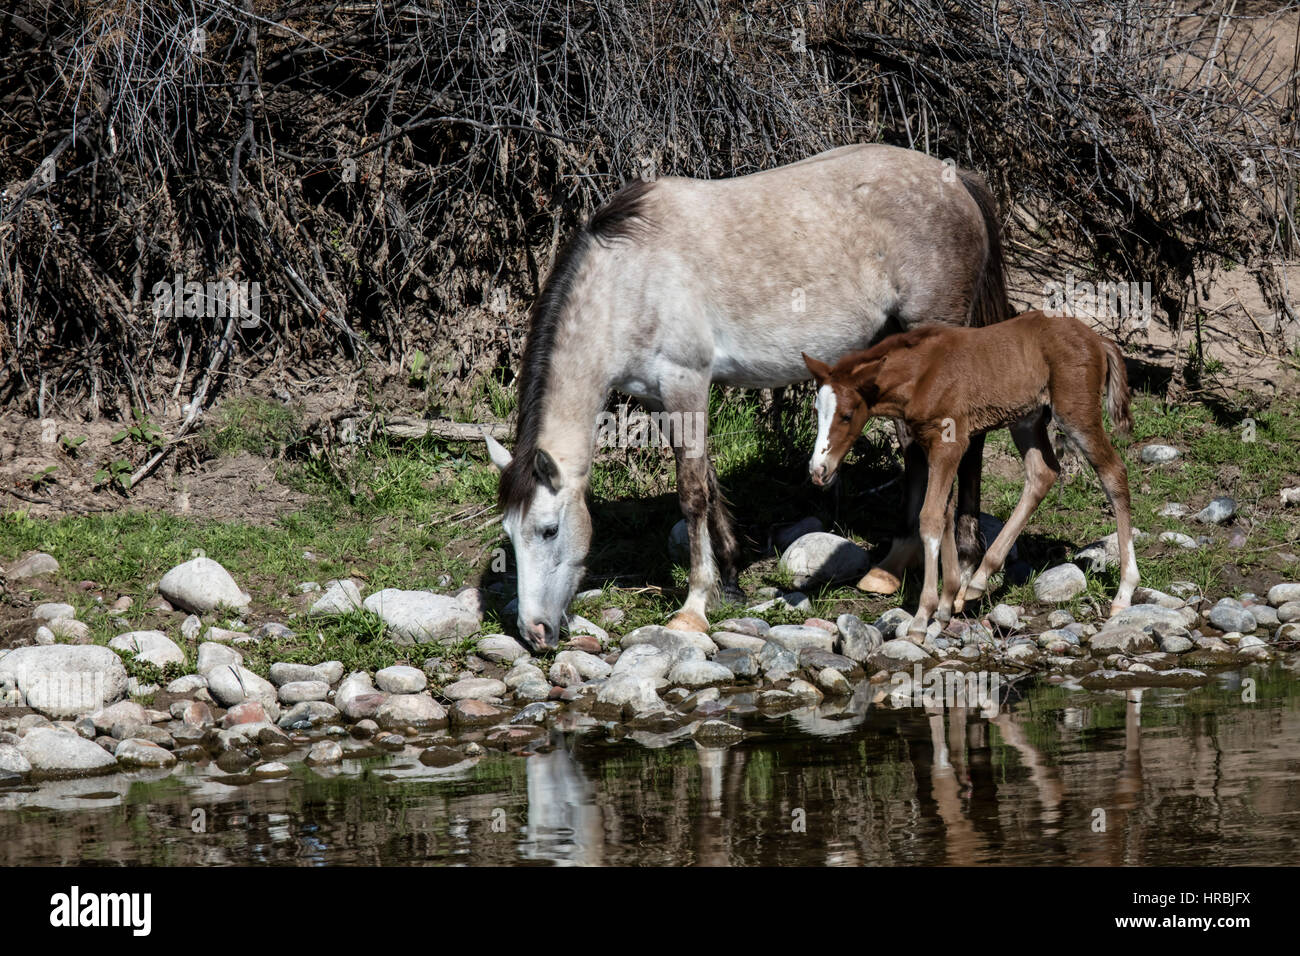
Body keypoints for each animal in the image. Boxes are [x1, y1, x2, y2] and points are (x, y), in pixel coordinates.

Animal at [486, 141, 1003, 650]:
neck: (630, 280)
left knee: (961, 441)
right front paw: (730, 577)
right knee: (915, 446)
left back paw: (966, 565)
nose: (533, 632)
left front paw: (694, 606)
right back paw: (892, 566)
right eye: (509, 533)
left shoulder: (686, 383)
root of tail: (955, 179)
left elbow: (692, 493)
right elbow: (708, 481)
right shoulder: (660, 399)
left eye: (549, 530)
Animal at [800, 312, 1138, 642]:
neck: (922, 375)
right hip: (1027, 419)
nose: (818, 470)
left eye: (847, 415)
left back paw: (1124, 592)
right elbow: (946, 513)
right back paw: (976, 582)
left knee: (1114, 473)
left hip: (1076, 413)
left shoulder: (950, 443)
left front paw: (923, 616)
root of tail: (1099, 339)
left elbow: (931, 517)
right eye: (816, 410)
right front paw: (946, 603)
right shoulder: (936, 445)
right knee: (1043, 473)